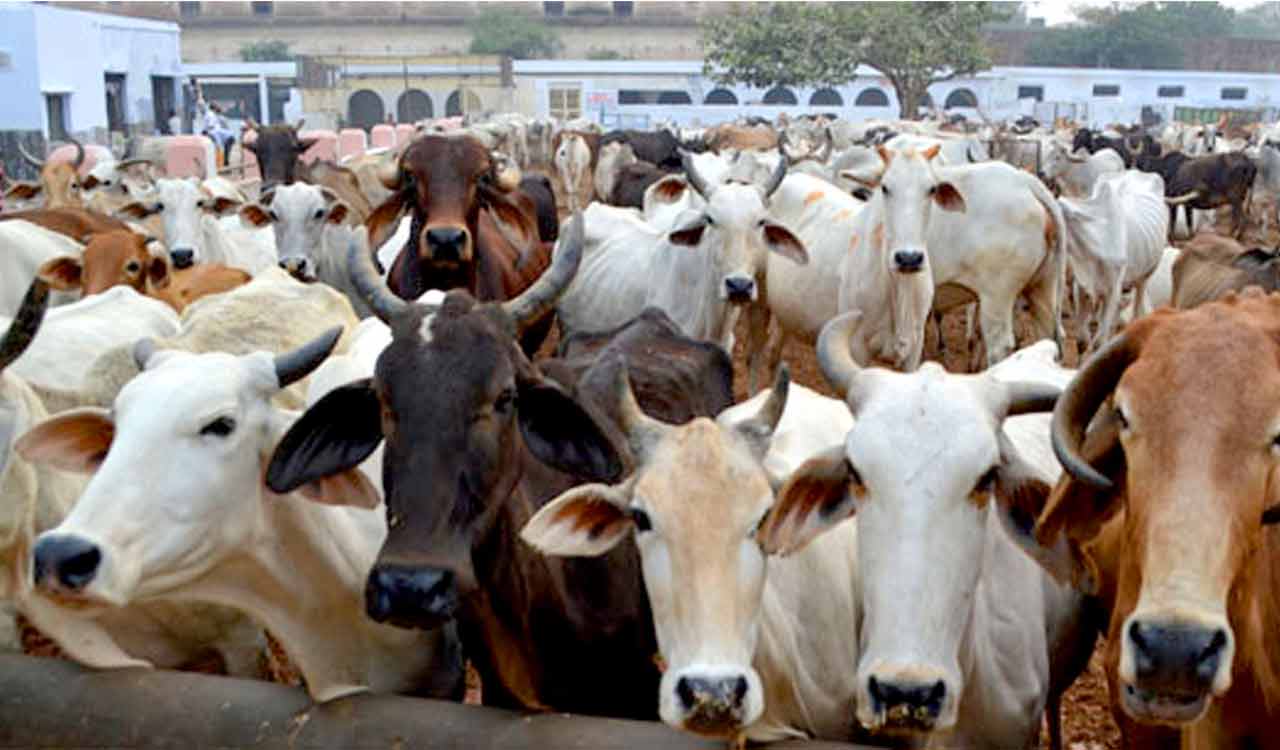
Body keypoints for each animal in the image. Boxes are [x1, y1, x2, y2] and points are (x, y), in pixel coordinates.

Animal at [1059, 170, 1169, 353]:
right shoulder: (1081, 286)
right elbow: (1082, 341)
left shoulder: (1112, 290)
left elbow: (1098, 342)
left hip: (1145, 276)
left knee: (1137, 313)